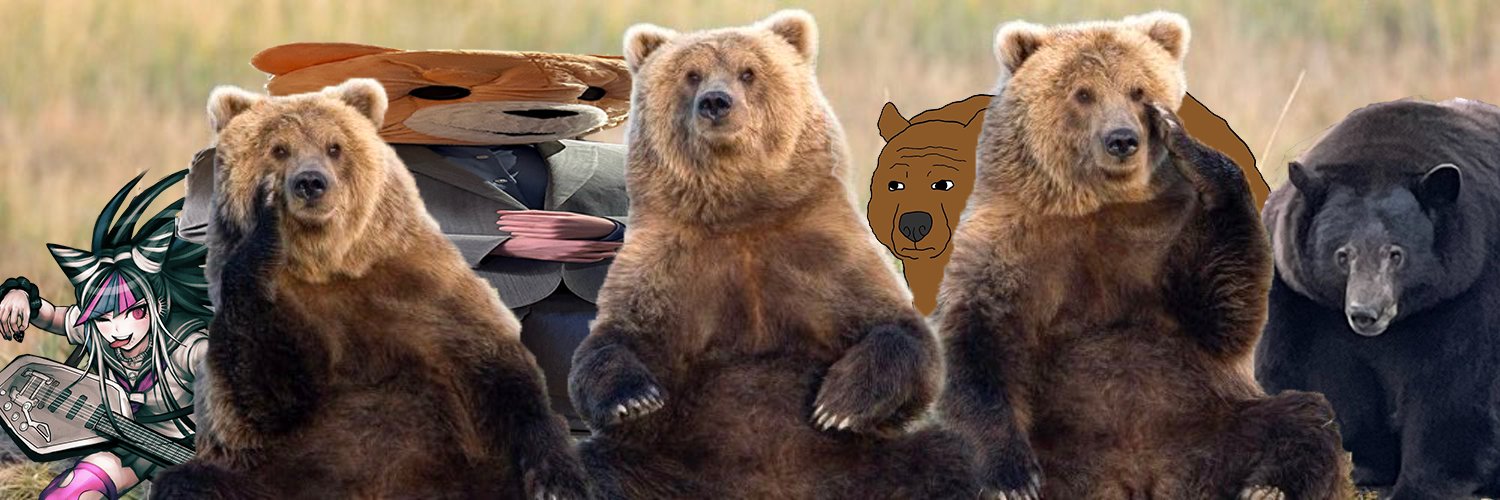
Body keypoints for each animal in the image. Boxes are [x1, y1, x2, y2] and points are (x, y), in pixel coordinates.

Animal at [148, 79, 591, 499]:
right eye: (279, 149)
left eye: (334, 146)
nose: (311, 182)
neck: (327, 263)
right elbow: (261, 395)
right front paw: (266, 219)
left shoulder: (425, 294)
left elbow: (504, 377)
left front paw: (557, 481)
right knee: (194, 481)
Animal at [566, 10, 978, 499]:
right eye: (691, 74)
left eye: (748, 71)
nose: (716, 102)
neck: (740, 213)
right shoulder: (665, 264)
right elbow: (613, 341)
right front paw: (635, 398)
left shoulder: (823, 255)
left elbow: (902, 335)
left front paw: (838, 404)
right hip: (665, 470)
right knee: (593, 466)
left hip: (872, 465)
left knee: (953, 456)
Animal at [934, 13, 1352, 500]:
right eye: (1083, 92)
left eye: (1137, 90)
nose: (1122, 139)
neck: (1096, 205)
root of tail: (1139, 476)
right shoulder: (1008, 243)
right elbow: (978, 340)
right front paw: (1013, 478)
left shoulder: (1166, 236)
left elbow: (1224, 309)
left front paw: (1190, 147)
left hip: (1209, 423)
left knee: (1304, 416)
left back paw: (1267, 487)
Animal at [1256, 98, 1500, 499]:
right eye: (1343, 255)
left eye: (1396, 254)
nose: (1365, 313)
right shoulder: (1301, 297)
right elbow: (1311, 371)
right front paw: (1364, 466)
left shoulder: (1471, 288)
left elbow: (1459, 387)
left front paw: (1421, 485)